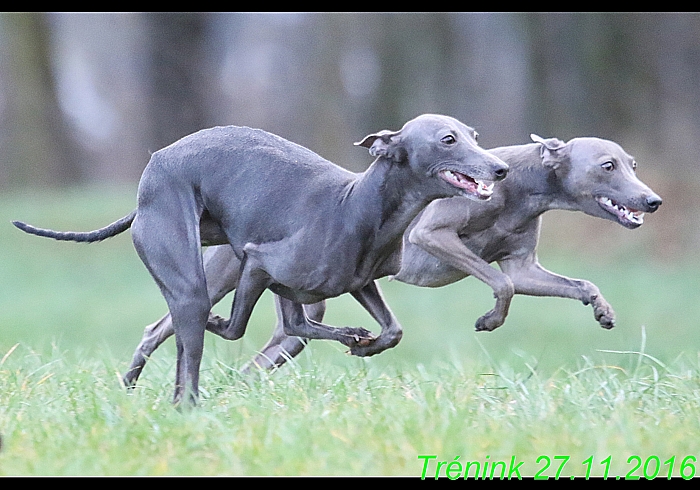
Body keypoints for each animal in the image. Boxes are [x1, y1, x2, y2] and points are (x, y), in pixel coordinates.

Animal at [12, 113, 508, 404]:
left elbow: (391, 330)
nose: (500, 169)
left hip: (222, 274)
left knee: (168, 330)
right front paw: (354, 337)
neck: (358, 204)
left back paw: (137, 389)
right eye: (448, 139)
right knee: (193, 334)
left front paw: (361, 341)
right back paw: (184, 400)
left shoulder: (356, 280)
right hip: (196, 282)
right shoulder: (260, 262)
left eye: (475, 136)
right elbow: (235, 329)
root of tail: (154, 168)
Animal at [120, 132, 660, 378]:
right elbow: (500, 284)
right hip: (223, 277)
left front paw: (603, 310)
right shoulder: (432, 236)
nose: (652, 200)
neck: (521, 183)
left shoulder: (525, 265)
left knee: (269, 350)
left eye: (633, 163)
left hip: (298, 307)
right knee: (160, 326)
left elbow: (572, 283)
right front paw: (489, 320)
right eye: (607, 165)